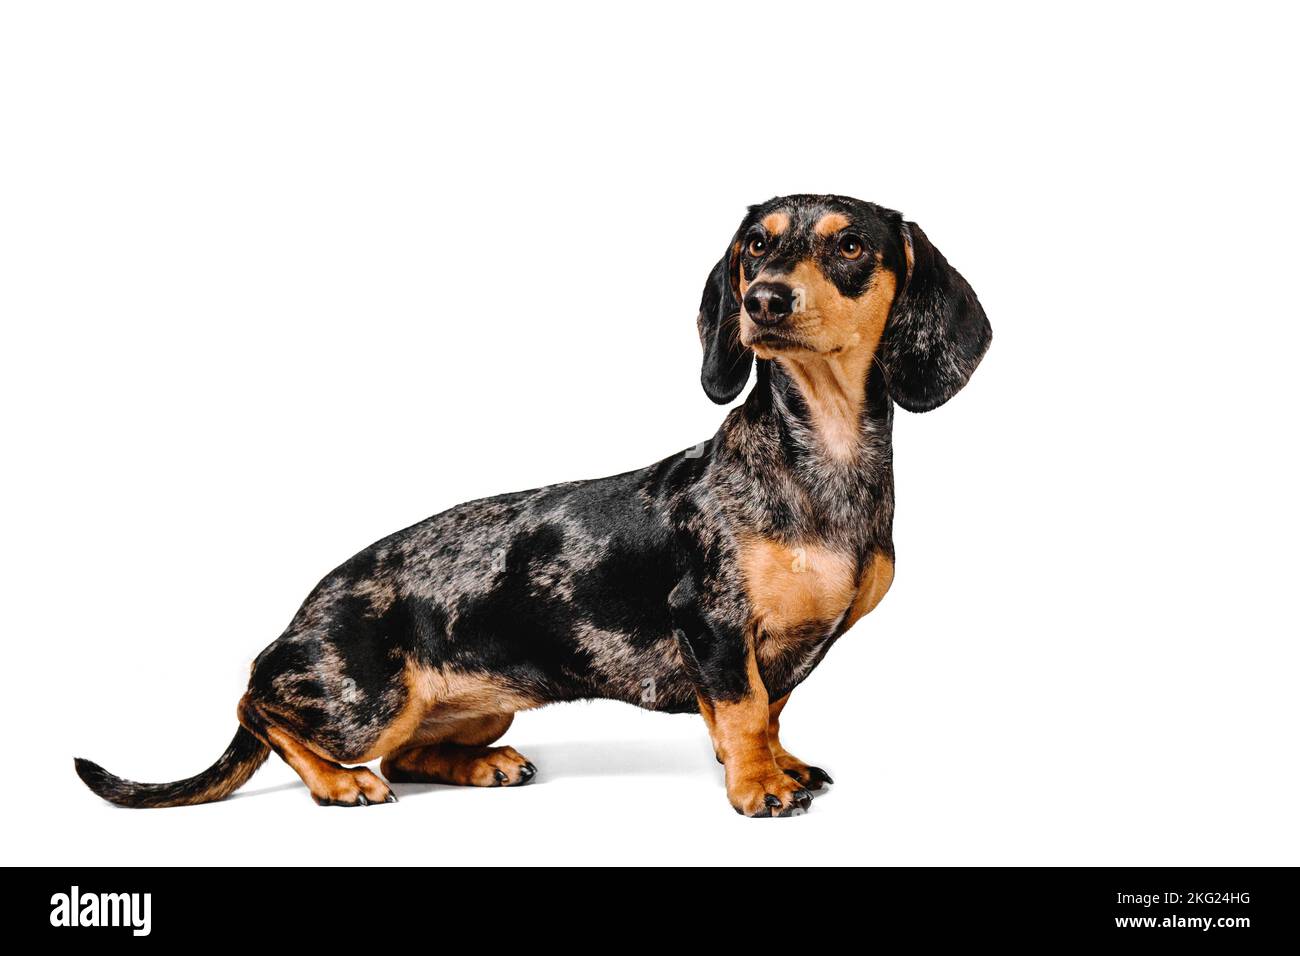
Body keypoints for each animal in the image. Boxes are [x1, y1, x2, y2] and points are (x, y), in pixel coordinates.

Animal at [78, 195, 993, 816]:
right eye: (755, 246)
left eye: (849, 243)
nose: (763, 298)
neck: (820, 460)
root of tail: (300, 617)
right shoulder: (711, 621)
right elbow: (742, 712)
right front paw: (758, 787)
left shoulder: (790, 646)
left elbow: (770, 711)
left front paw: (780, 764)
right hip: (364, 700)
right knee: (259, 707)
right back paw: (338, 782)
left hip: (473, 708)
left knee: (407, 752)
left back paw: (481, 767)